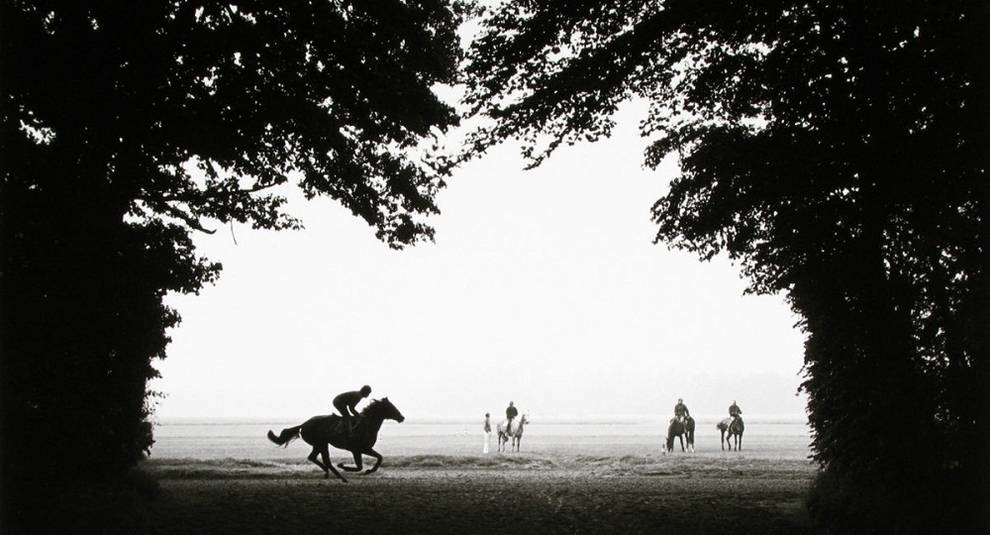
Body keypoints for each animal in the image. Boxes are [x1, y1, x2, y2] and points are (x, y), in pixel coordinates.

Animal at [266, 398, 404, 482]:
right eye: (391, 407)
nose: (402, 417)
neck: (366, 425)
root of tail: (303, 424)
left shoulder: (365, 448)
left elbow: (380, 457)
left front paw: (369, 470)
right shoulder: (357, 449)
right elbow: (360, 466)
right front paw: (344, 466)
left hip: (321, 444)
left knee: (317, 458)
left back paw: (330, 473)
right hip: (320, 443)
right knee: (322, 460)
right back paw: (339, 475)